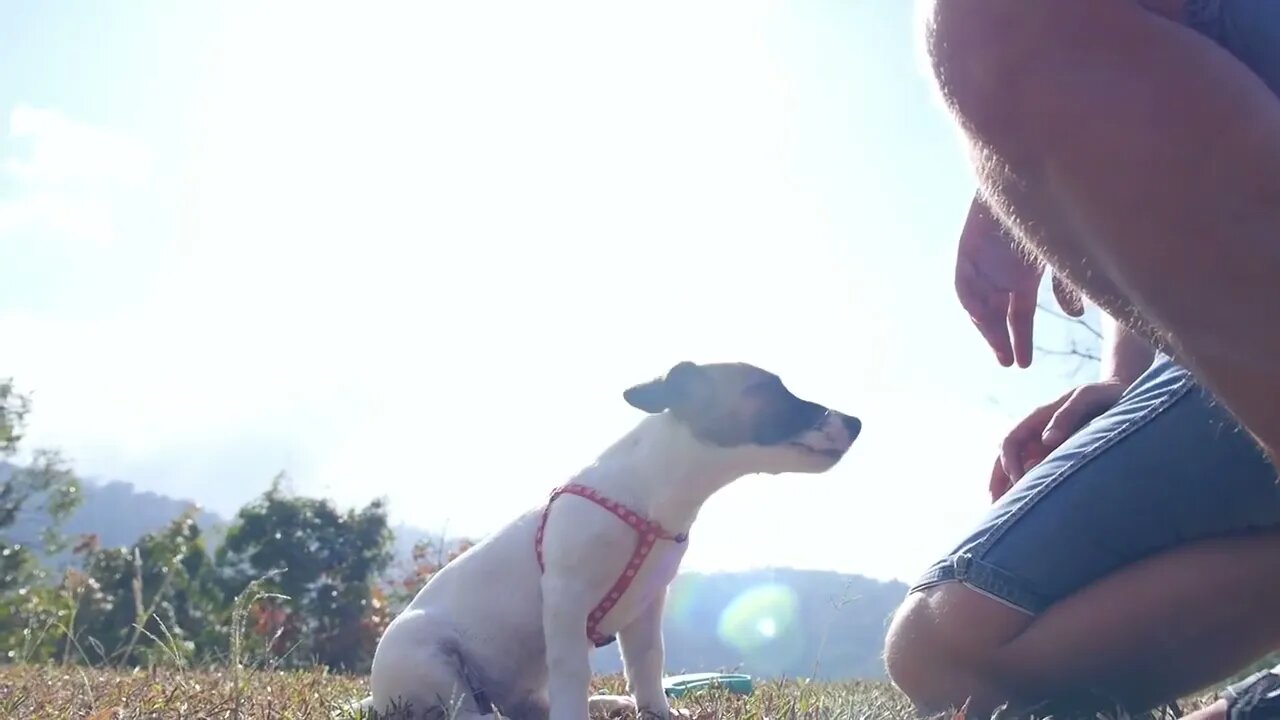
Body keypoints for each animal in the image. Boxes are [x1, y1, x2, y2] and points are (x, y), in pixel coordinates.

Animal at [363, 361, 860, 717]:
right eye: (770, 391)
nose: (855, 422)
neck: (653, 493)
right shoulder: (565, 597)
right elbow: (573, 669)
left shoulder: (646, 607)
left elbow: (647, 664)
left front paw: (657, 712)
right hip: (426, 657)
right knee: (467, 710)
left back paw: (610, 703)